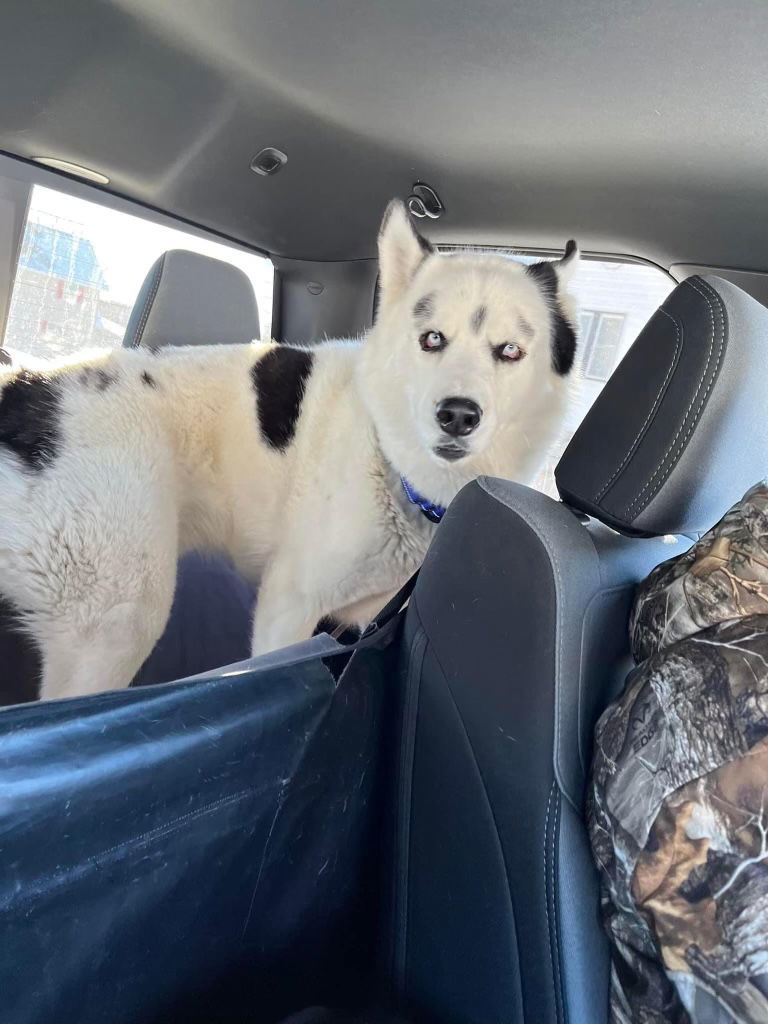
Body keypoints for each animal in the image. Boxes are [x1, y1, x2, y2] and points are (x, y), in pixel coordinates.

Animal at [0, 200, 581, 700]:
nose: (458, 415)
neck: (394, 470)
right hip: (119, 619)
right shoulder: (288, 609)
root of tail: (27, 386)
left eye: (510, 351)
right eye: (432, 339)